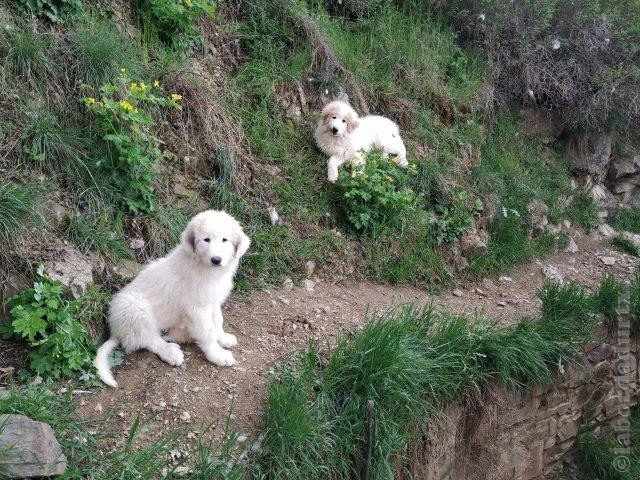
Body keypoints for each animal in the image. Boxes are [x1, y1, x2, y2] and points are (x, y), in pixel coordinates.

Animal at [95, 209, 250, 386]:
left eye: (225, 240)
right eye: (206, 240)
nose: (216, 260)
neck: (204, 267)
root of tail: (117, 330)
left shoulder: (212, 300)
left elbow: (218, 320)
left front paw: (223, 338)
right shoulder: (197, 308)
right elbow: (207, 331)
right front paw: (217, 355)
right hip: (134, 308)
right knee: (147, 340)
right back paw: (170, 352)